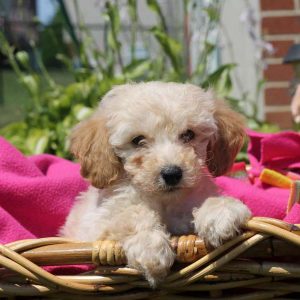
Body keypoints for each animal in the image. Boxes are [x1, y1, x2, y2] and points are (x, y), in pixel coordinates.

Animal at [60, 81, 251, 286]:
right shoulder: (97, 225)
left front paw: (221, 213)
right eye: (137, 140)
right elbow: (129, 214)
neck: (164, 201)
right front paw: (151, 247)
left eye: (188, 134)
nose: (172, 173)